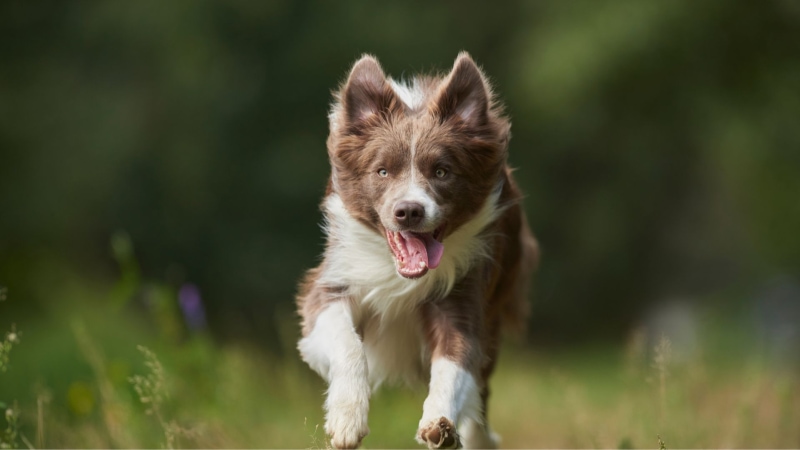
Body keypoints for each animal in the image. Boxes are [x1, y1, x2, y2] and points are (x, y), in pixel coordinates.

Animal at [296, 53, 536, 450]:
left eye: (441, 171)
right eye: (382, 171)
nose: (409, 211)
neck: (400, 274)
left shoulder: (464, 296)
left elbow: (454, 364)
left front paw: (439, 424)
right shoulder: (331, 284)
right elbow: (348, 344)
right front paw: (347, 419)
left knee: (481, 391)